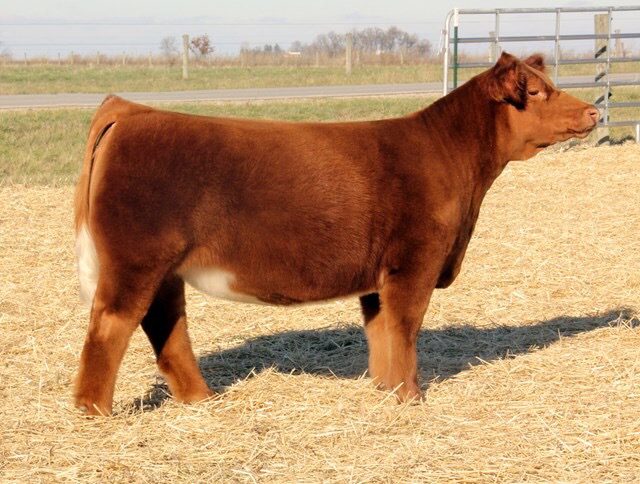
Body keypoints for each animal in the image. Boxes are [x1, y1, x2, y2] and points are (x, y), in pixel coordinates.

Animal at [74, 52, 598, 415]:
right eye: (536, 92)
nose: (593, 112)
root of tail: (132, 111)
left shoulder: (378, 275)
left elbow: (381, 332)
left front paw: (386, 390)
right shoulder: (416, 260)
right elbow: (406, 327)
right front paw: (412, 398)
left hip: (164, 269)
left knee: (167, 327)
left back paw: (201, 399)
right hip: (136, 260)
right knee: (110, 325)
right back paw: (95, 412)